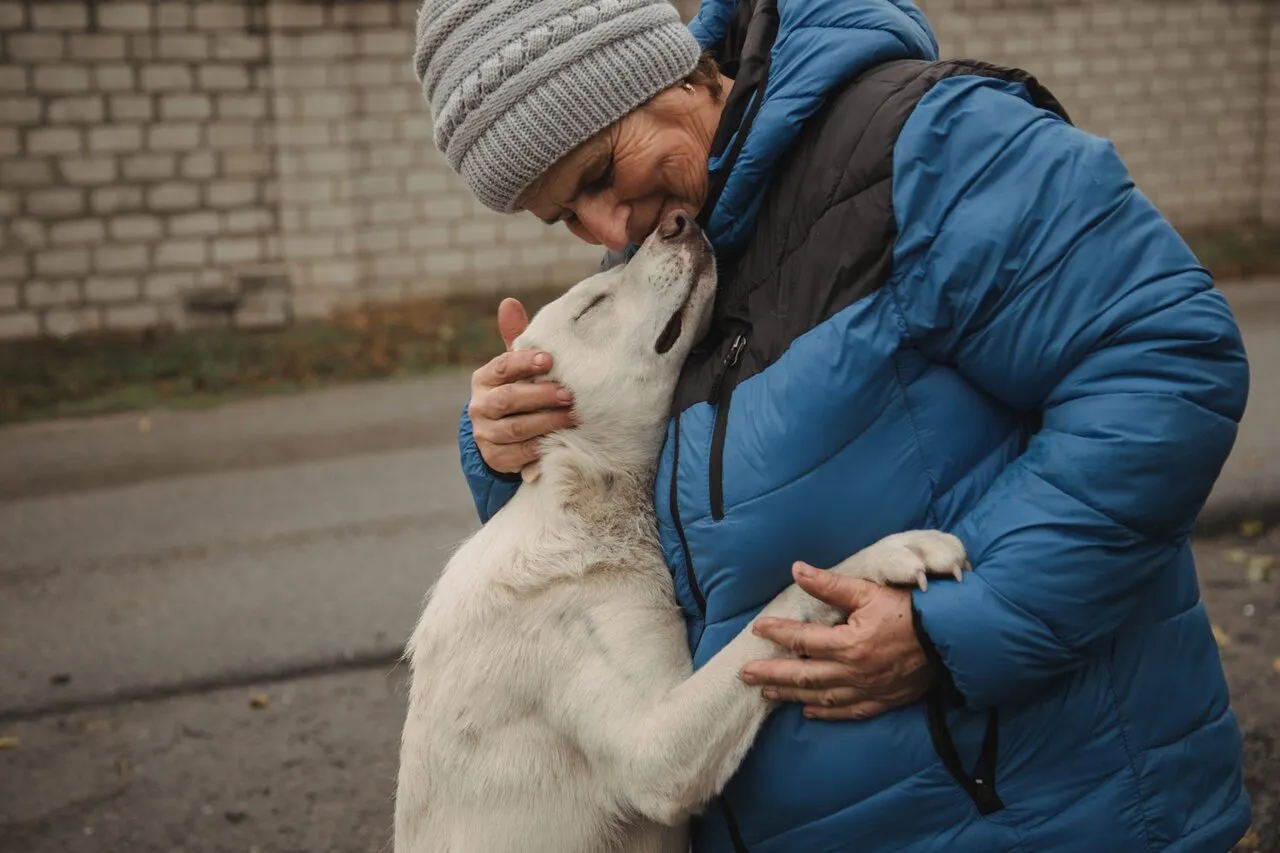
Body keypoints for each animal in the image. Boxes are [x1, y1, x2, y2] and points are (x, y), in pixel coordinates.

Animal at [394, 212, 962, 850]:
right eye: (592, 306)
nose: (677, 221)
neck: (584, 503)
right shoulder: (654, 752)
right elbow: (783, 603)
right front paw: (888, 554)